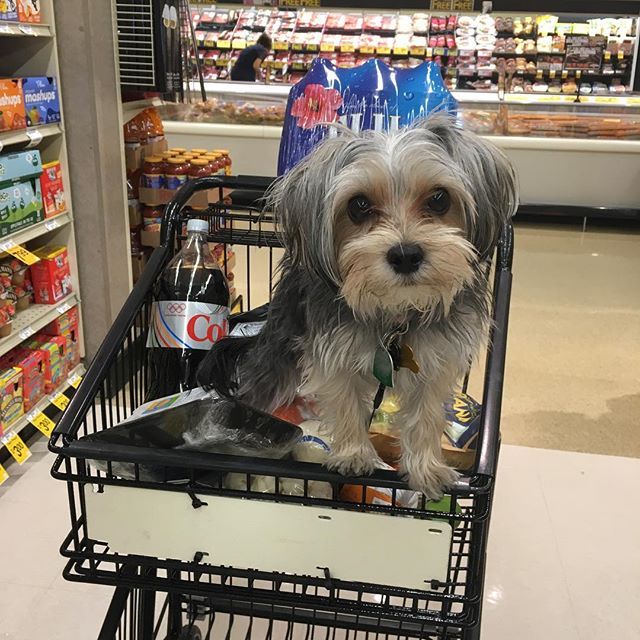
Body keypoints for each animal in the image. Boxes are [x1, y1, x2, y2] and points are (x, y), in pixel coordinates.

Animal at [200, 112, 520, 498]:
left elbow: (426, 414)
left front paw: (425, 467)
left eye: (439, 199)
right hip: (281, 345)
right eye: (359, 205)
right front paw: (354, 454)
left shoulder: (437, 360)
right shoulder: (334, 354)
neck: (396, 314)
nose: (405, 254)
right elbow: (347, 402)